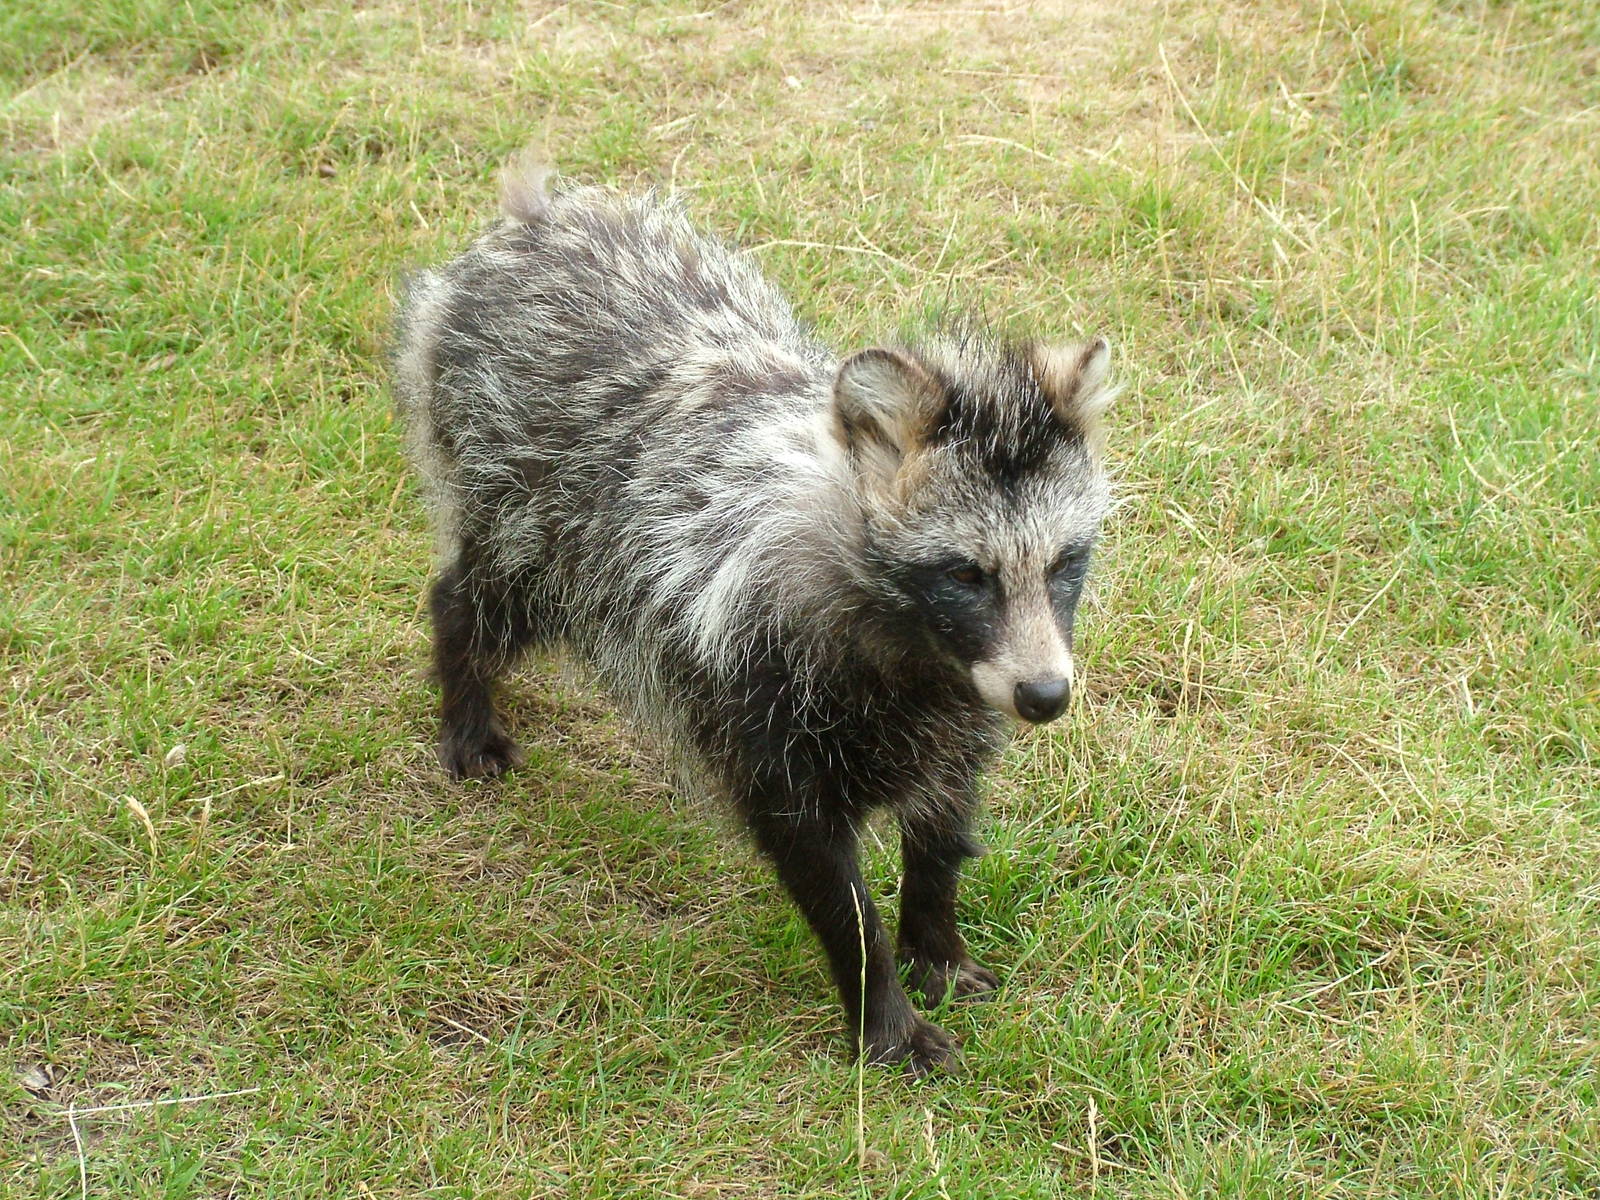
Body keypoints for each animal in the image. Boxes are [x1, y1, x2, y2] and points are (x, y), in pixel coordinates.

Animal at [391, 162, 1116, 1074]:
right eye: (965, 575)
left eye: (1063, 564)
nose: (1046, 697)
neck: (913, 651)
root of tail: (533, 222)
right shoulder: (752, 685)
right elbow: (821, 866)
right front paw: (882, 1005)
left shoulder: (959, 703)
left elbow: (943, 823)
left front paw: (936, 942)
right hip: (523, 496)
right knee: (482, 598)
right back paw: (465, 695)